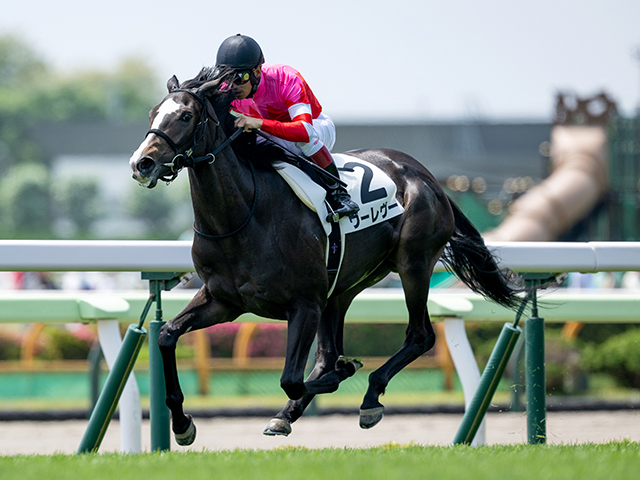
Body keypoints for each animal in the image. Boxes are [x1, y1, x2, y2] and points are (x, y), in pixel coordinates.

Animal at [129, 68, 523, 445]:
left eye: (185, 115)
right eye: (152, 113)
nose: (141, 163)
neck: (244, 216)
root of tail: (428, 177)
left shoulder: (304, 303)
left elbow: (292, 379)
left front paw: (345, 373)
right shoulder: (223, 300)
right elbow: (167, 335)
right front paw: (182, 424)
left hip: (413, 264)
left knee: (419, 336)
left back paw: (368, 398)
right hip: (344, 286)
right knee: (328, 354)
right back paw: (289, 414)